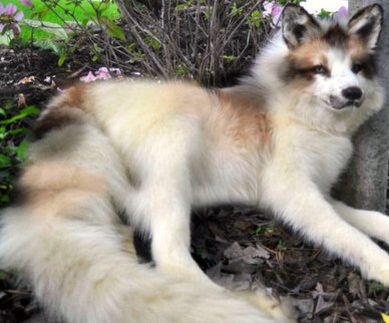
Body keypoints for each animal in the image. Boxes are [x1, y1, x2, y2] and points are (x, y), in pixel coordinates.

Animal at [0, 3, 384, 323]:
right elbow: (349, 236)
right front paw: (384, 267)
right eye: (320, 69)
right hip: (175, 138)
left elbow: (368, 219)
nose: (353, 93)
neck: (308, 116)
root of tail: (73, 97)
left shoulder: (320, 194)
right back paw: (244, 306)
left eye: (356, 68)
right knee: (170, 258)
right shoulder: (295, 195)